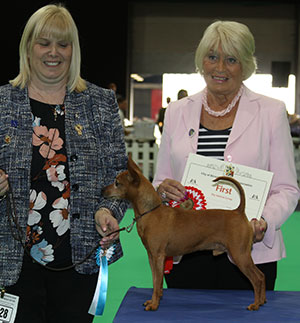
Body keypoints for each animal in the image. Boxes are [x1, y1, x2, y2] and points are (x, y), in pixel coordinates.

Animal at [102, 158, 266, 312]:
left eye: (117, 183)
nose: (102, 190)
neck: (151, 212)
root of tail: (238, 211)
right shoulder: (152, 257)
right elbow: (156, 282)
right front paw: (154, 301)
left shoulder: (158, 257)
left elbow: (157, 282)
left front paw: (154, 305)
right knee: (262, 276)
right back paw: (262, 301)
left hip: (240, 255)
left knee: (257, 278)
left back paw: (255, 304)